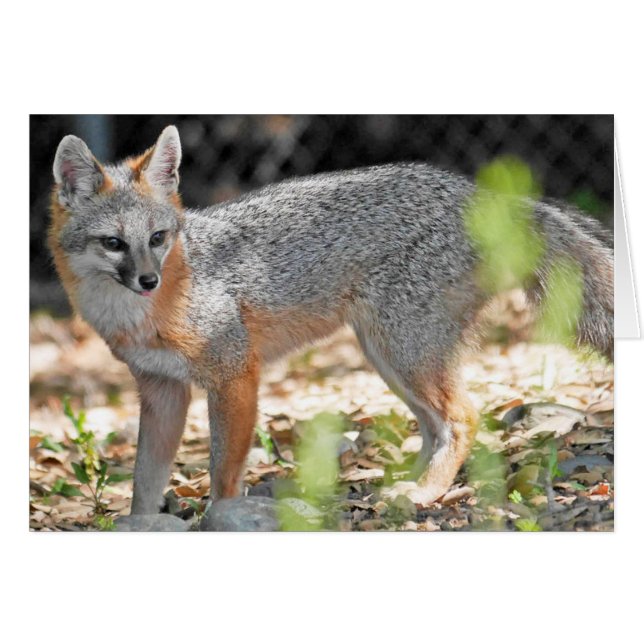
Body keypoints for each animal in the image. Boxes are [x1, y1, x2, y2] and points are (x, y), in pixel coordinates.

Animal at [48, 125, 614, 514]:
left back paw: (425, 492)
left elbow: (222, 474)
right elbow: (144, 486)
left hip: (402, 350)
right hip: (386, 354)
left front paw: (221, 518)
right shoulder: (162, 391)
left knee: (463, 419)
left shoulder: (235, 375)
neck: (142, 314)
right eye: (114, 243)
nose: (148, 280)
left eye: (158, 238)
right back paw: (401, 483)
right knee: (433, 426)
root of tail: (479, 193)